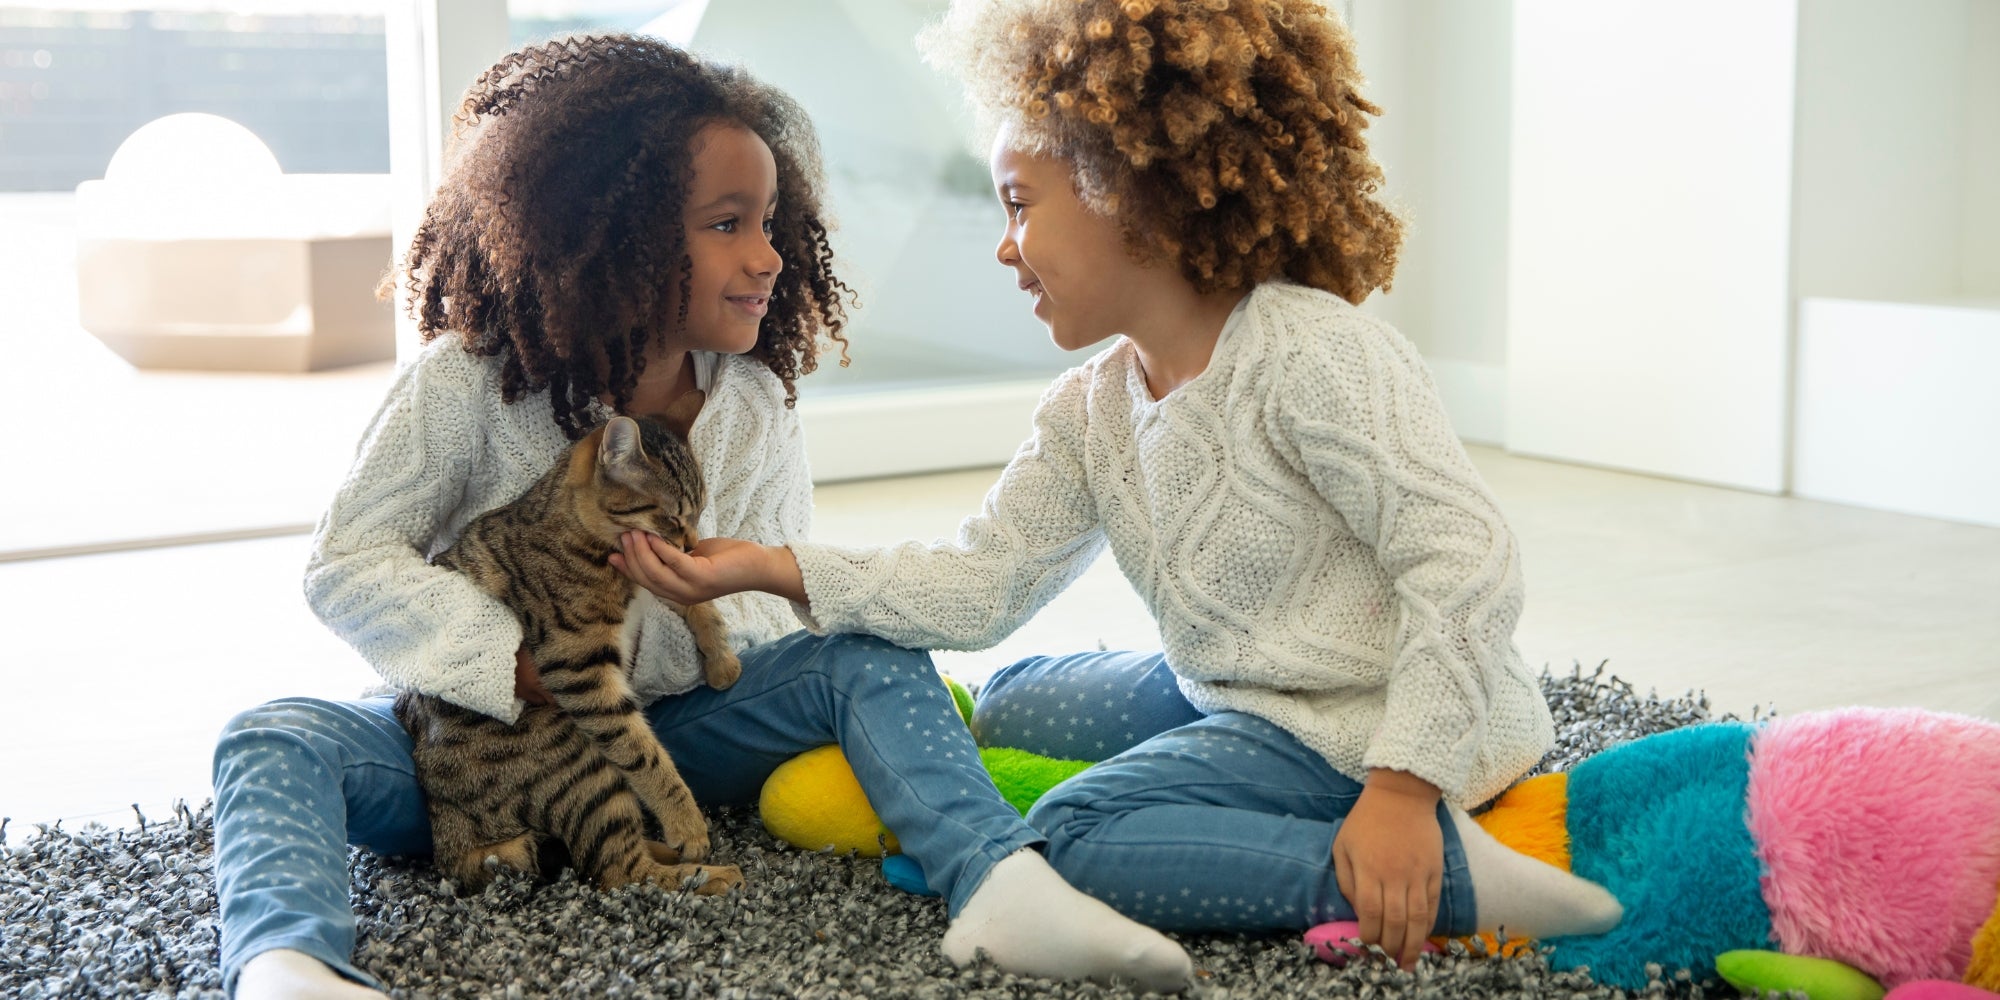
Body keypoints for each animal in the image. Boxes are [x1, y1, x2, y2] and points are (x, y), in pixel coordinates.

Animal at [390, 394, 744, 896]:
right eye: (673, 515)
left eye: (696, 514)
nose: (693, 545)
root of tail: (448, 835)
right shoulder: (579, 670)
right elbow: (645, 756)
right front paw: (687, 823)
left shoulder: (653, 578)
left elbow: (698, 602)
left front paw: (721, 660)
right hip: (580, 763)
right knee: (617, 870)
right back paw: (709, 873)